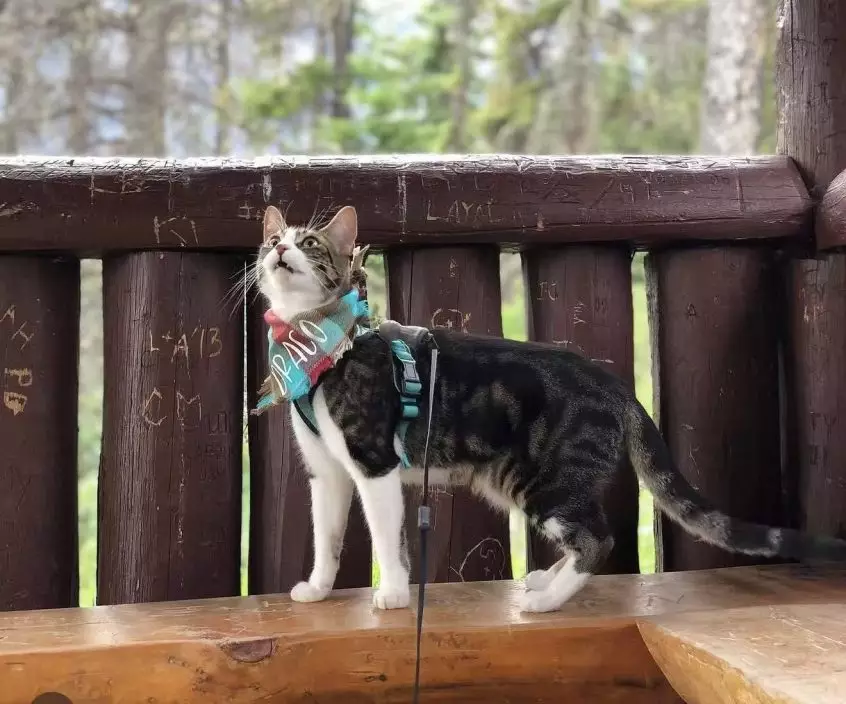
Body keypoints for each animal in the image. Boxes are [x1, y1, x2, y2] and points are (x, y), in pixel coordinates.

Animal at [255, 204, 846, 613]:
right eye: (273, 240)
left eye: (309, 242)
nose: (278, 251)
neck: (320, 346)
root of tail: (617, 385)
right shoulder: (326, 472)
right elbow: (327, 537)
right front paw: (317, 589)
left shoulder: (374, 461)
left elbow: (387, 538)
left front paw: (395, 595)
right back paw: (545, 582)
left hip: (544, 480)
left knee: (599, 538)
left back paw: (545, 601)